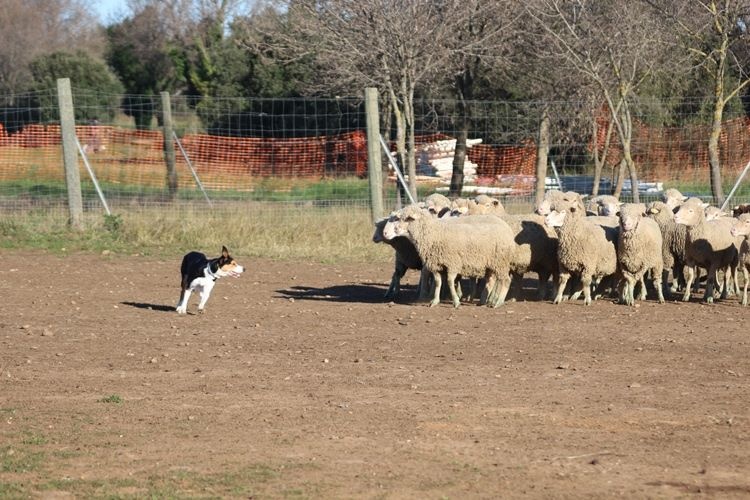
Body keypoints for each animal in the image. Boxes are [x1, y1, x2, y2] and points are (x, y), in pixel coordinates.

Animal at [384, 204, 520, 306]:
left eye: (401, 219)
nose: (385, 233)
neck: (434, 233)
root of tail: (506, 227)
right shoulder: (436, 265)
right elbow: (438, 282)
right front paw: (434, 301)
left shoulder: (453, 263)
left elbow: (449, 281)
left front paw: (456, 301)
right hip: (491, 263)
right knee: (490, 281)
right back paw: (482, 301)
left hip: (500, 261)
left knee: (506, 280)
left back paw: (497, 302)